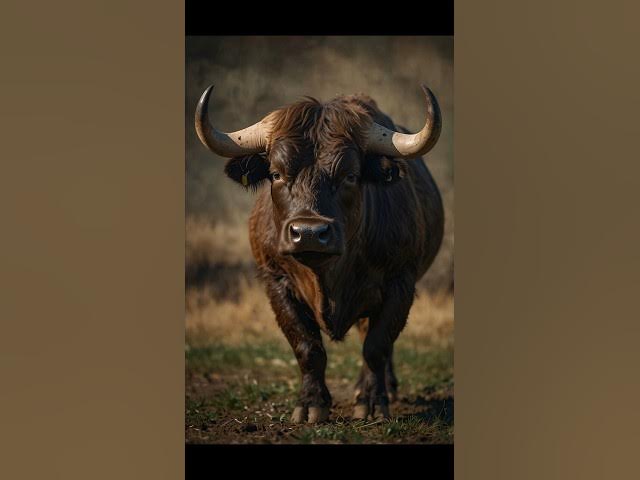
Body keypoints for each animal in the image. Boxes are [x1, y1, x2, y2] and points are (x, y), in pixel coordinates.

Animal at [195, 84, 444, 423]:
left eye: (350, 175)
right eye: (276, 174)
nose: (309, 232)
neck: (327, 274)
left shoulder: (401, 282)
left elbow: (376, 346)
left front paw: (372, 401)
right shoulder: (276, 282)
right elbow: (307, 347)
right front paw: (311, 404)